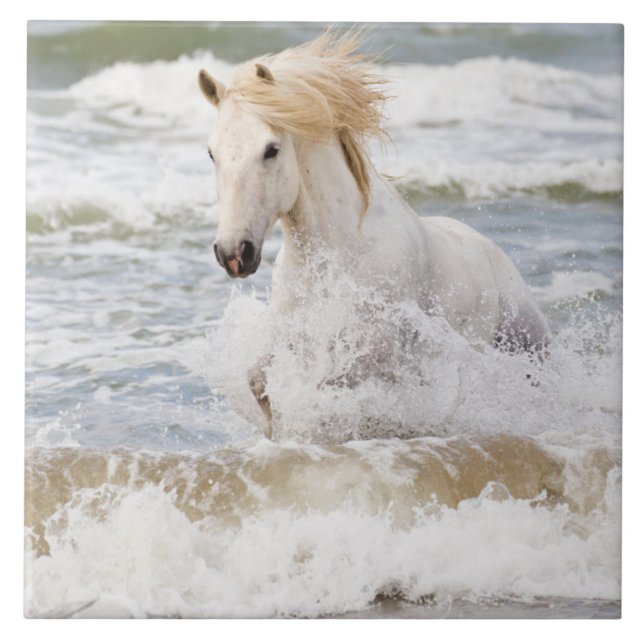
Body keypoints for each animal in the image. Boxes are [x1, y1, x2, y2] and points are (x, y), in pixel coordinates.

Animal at [198, 31, 549, 438]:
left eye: (271, 150)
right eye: (212, 153)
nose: (233, 253)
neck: (340, 252)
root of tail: (489, 248)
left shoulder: (375, 351)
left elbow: (328, 391)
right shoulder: (292, 333)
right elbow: (258, 381)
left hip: (527, 344)